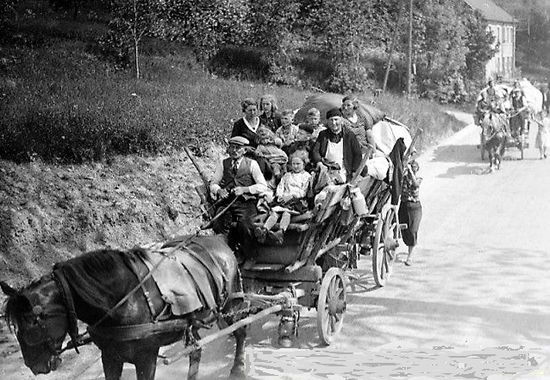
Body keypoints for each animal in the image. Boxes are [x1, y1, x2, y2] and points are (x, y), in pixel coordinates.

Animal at [0, 235, 246, 380]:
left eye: (33, 322)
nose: (34, 365)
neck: (126, 300)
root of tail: (220, 241)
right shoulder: (109, 356)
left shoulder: (146, 357)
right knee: (196, 350)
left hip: (231, 303)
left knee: (241, 330)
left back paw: (238, 368)